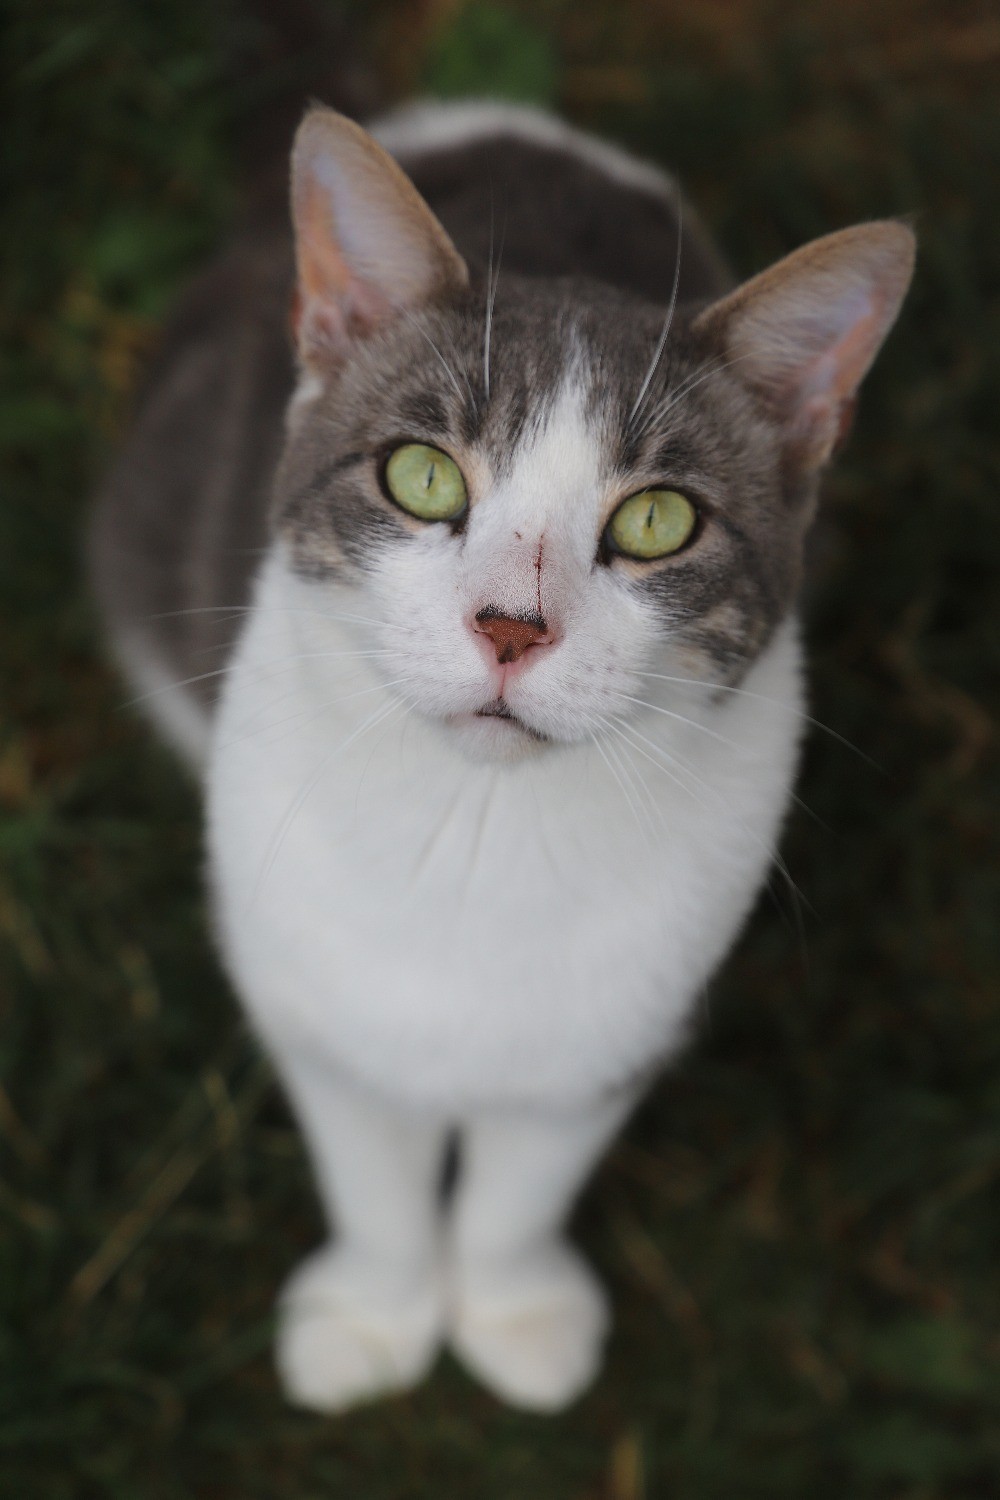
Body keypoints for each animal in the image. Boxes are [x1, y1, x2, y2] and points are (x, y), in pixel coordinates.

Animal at [91, 99, 917, 1410]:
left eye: (658, 519)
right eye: (421, 474)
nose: (511, 628)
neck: (479, 831)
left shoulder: (619, 1019)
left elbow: (525, 1183)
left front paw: (513, 1310)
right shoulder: (312, 996)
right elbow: (368, 1167)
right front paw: (371, 1316)